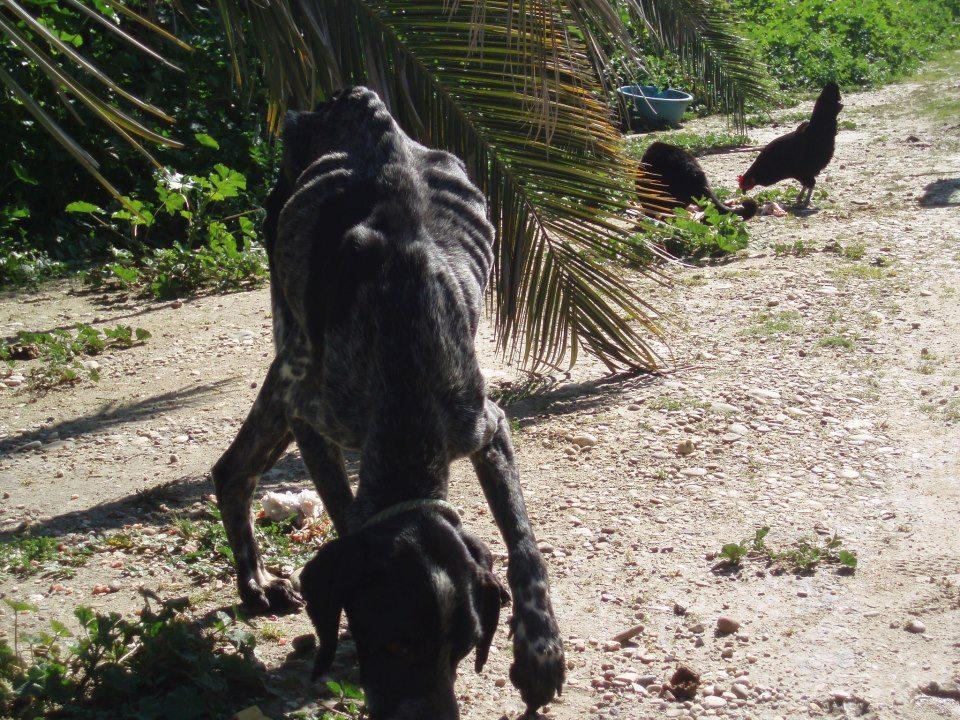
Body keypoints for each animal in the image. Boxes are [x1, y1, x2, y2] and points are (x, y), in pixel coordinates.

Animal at [212, 87, 564, 716]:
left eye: (465, 646)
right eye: (392, 642)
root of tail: (360, 103)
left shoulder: (484, 426)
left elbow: (523, 541)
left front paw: (540, 647)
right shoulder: (314, 418)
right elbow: (343, 508)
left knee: (233, 468)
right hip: (290, 352)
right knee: (235, 467)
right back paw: (253, 584)